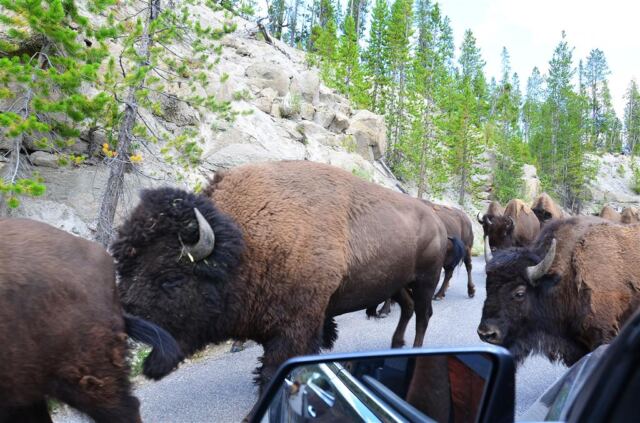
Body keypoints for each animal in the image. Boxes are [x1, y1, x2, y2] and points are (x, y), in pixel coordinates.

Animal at [113, 161, 448, 397]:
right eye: (124, 267)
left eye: (170, 279)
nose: (124, 322)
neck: (247, 244)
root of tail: (435, 218)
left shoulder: (293, 327)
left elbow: (275, 368)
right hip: (397, 283)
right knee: (408, 309)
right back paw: (396, 344)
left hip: (425, 280)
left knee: (424, 313)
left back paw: (415, 350)